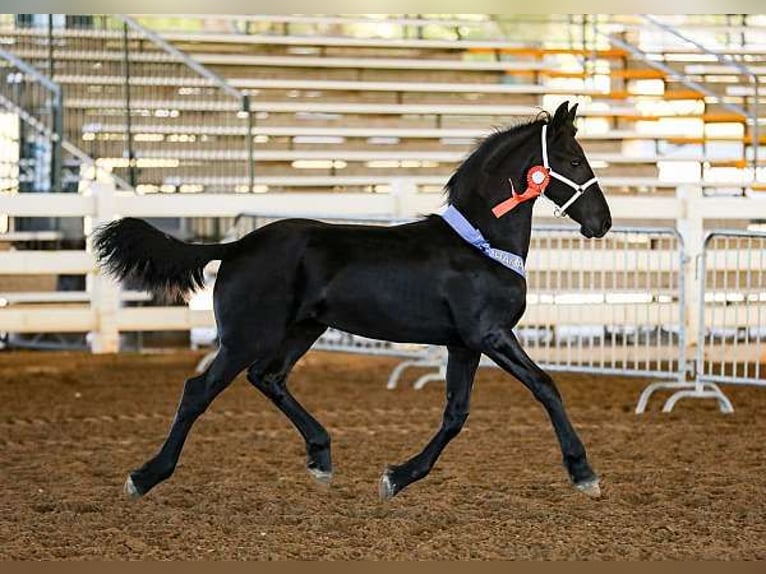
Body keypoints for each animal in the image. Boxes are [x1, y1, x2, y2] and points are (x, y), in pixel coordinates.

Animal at [94, 101, 611, 502]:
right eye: (575, 160)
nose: (602, 223)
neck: (480, 243)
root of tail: (236, 246)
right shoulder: (490, 335)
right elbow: (546, 385)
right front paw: (583, 472)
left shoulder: (464, 344)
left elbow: (455, 414)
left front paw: (397, 477)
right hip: (246, 336)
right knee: (198, 391)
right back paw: (145, 476)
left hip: (303, 329)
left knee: (268, 378)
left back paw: (321, 455)